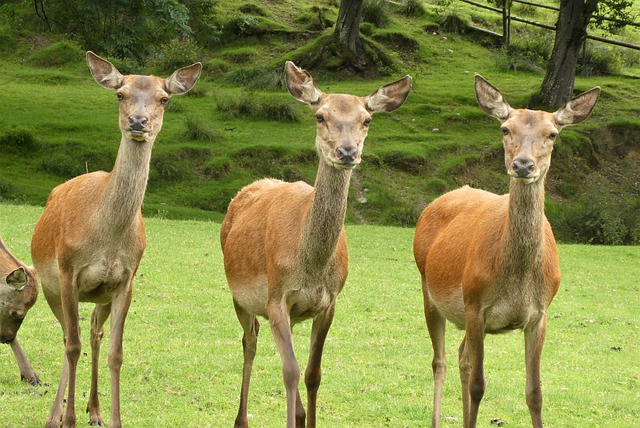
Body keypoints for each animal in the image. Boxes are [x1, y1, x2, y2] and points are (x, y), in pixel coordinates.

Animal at [30, 51, 201, 428]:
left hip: (100, 295)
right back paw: (55, 415)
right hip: (48, 285)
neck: (105, 238)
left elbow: (116, 353)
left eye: (164, 99)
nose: (138, 121)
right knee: (68, 336)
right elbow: (72, 346)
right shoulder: (67, 272)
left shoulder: (125, 280)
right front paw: (68, 419)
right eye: (120, 94)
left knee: (94, 331)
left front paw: (113, 418)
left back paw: (94, 410)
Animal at [220, 61, 411, 428]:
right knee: (249, 341)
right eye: (320, 116)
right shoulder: (276, 298)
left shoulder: (329, 302)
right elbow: (290, 372)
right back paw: (241, 419)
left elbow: (312, 374)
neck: (310, 264)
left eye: (367, 119)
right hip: (238, 293)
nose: (347, 152)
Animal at [413, 75, 600, 428]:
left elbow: (535, 393)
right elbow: (478, 386)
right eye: (505, 128)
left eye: (552, 134)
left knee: (461, 356)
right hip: (429, 290)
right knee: (440, 361)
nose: (523, 165)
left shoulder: (539, 314)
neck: (517, 279)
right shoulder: (475, 304)